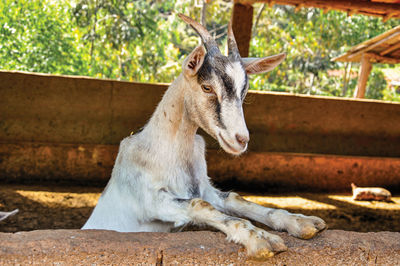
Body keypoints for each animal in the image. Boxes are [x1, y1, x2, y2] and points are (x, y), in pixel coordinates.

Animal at [83, 14, 326, 260]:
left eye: (244, 92)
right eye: (207, 87)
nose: (241, 139)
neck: (168, 150)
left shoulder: (206, 188)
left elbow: (235, 198)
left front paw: (301, 222)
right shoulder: (150, 200)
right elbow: (199, 205)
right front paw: (260, 238)